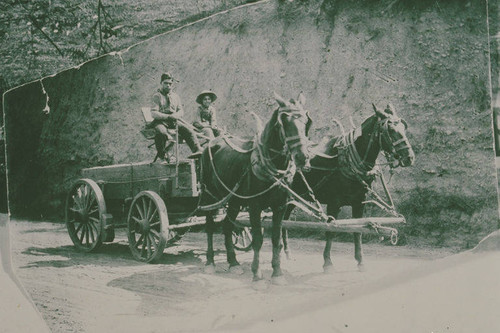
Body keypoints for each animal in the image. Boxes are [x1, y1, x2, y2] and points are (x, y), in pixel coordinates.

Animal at [197, 92, 310, 284]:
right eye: (284, 122)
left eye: (305, 122)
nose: (303, 157)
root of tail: (211, 143)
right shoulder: (254, 206)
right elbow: (257, 239)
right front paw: (257, 275)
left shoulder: (280, 206)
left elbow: (276, 239)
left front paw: (277, 273)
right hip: (209, 196)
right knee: (210, 226)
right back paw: (210, 262)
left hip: (234, 200)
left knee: (227, 226)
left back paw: (233, 263)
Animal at [282, 102, 414, 272]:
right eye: (390, 130)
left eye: (404, 127)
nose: (410, 157)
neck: (346, 163)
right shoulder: (334, 203)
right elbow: (331, 231)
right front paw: (327, 262)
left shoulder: (359, 202)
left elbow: (358, 231)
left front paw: (360, 261)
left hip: (293, 197)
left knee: (283, 220)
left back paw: (286, 252)